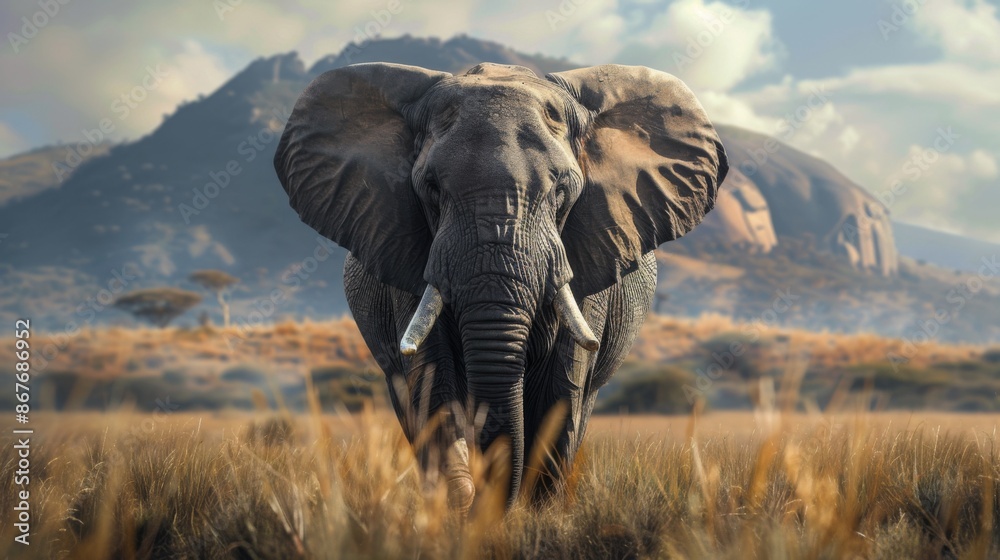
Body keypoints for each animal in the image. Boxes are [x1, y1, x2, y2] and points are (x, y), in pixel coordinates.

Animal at [273, 61, 728, 510]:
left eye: (561, 190)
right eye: (432, 190)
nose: (484, 494)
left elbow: (562, 389)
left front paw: (534, 514)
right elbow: (433, 381)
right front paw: (459, 502)